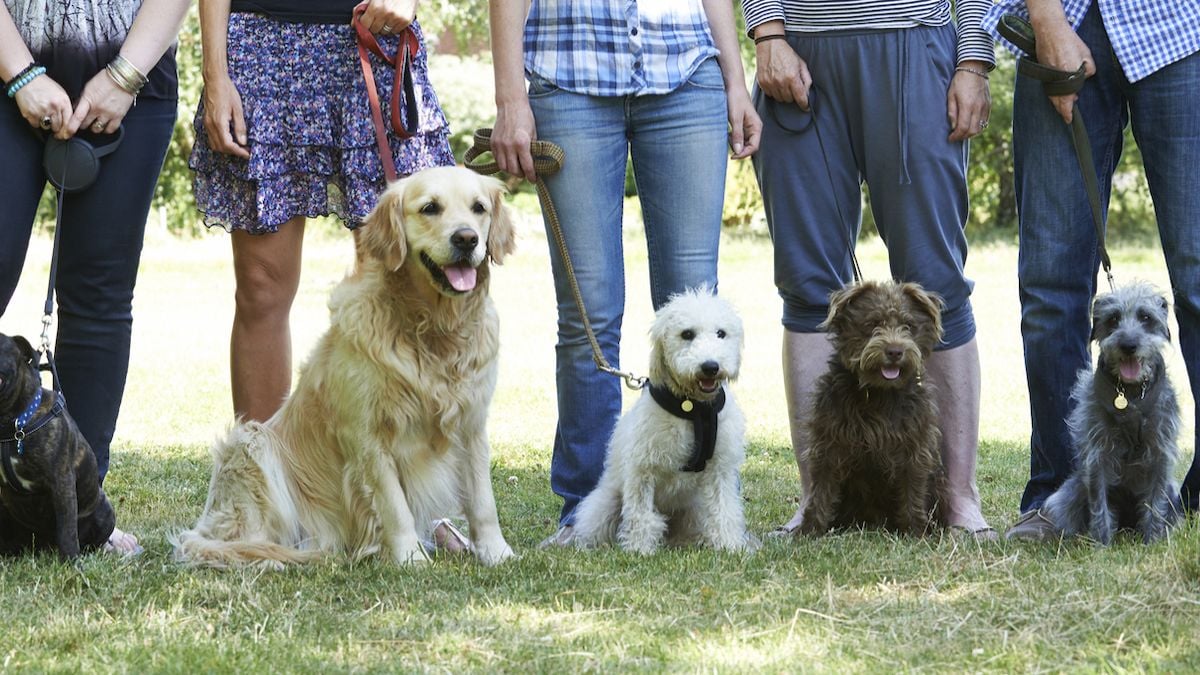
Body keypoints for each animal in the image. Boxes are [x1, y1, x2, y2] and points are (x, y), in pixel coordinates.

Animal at [568, 285, 753, 554]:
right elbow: (641, 515)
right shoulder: (642, 469)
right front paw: (639, 549)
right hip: (605, 503)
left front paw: (729, 546)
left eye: (721, 333)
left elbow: (724, 509)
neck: (693, 409)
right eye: (687, 334)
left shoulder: (720, 469)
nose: (710, 366)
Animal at [796, 278, 945, 530]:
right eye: (873, 323)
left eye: (908, 325)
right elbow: (822, 488)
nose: (895, 351)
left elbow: (912, 488)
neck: (878, 393)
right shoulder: (829, 441)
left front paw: (915, 530)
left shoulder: (915, 445)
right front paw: (811, 529)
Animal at [1041, 279, 1180, 540]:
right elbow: (1099, 503)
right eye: (1113, 318)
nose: (1128, 345)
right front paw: (1101, 543)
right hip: (1066, 495)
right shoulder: (1098, 454)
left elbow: (1155, 502)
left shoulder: (1160, 451)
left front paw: (1153, 540)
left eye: (1146, 317)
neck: (1131, 392)